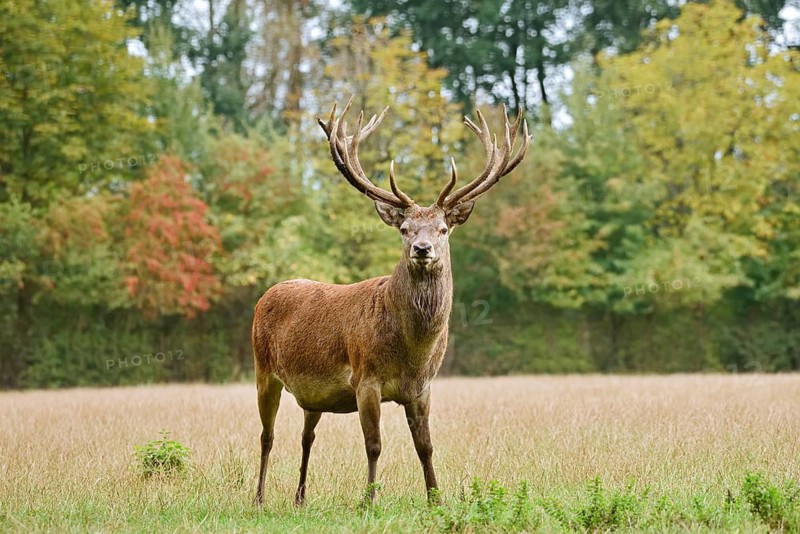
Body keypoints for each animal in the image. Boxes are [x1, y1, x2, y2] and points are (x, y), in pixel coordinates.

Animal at [252, 95, 530, 506]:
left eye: (443, 229)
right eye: (404, 228)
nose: (422, 248)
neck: (412, 351)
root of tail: (266, 294)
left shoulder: (422, 388)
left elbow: (426, 447)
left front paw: (436, 499)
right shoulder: (365, 379)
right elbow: (374, 445)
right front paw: (368, 501)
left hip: (312, 397)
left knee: (306, 435)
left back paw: (300, 497)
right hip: (263, 369)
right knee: (266, 436)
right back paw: (258, 497)